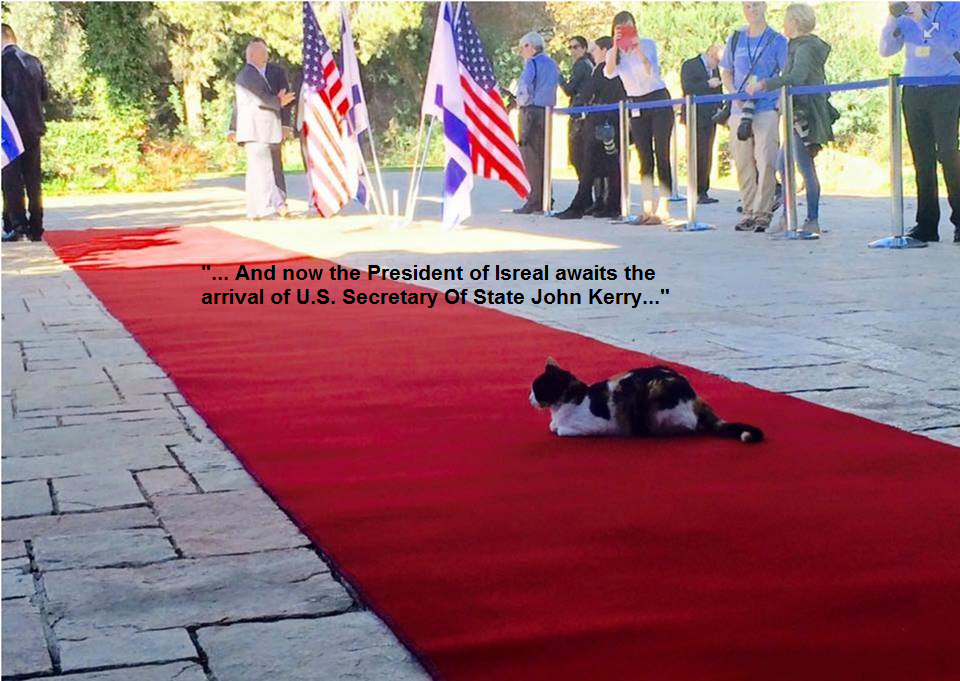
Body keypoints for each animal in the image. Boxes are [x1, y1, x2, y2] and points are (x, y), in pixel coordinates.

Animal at [529, 357, 764, 443]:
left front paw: (557, 427)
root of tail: (694, 396)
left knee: (688, 427)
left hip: (656, 396)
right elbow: (553, 426)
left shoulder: (591, 426)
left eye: (536, 389)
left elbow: (560, 429)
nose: (529, 397)